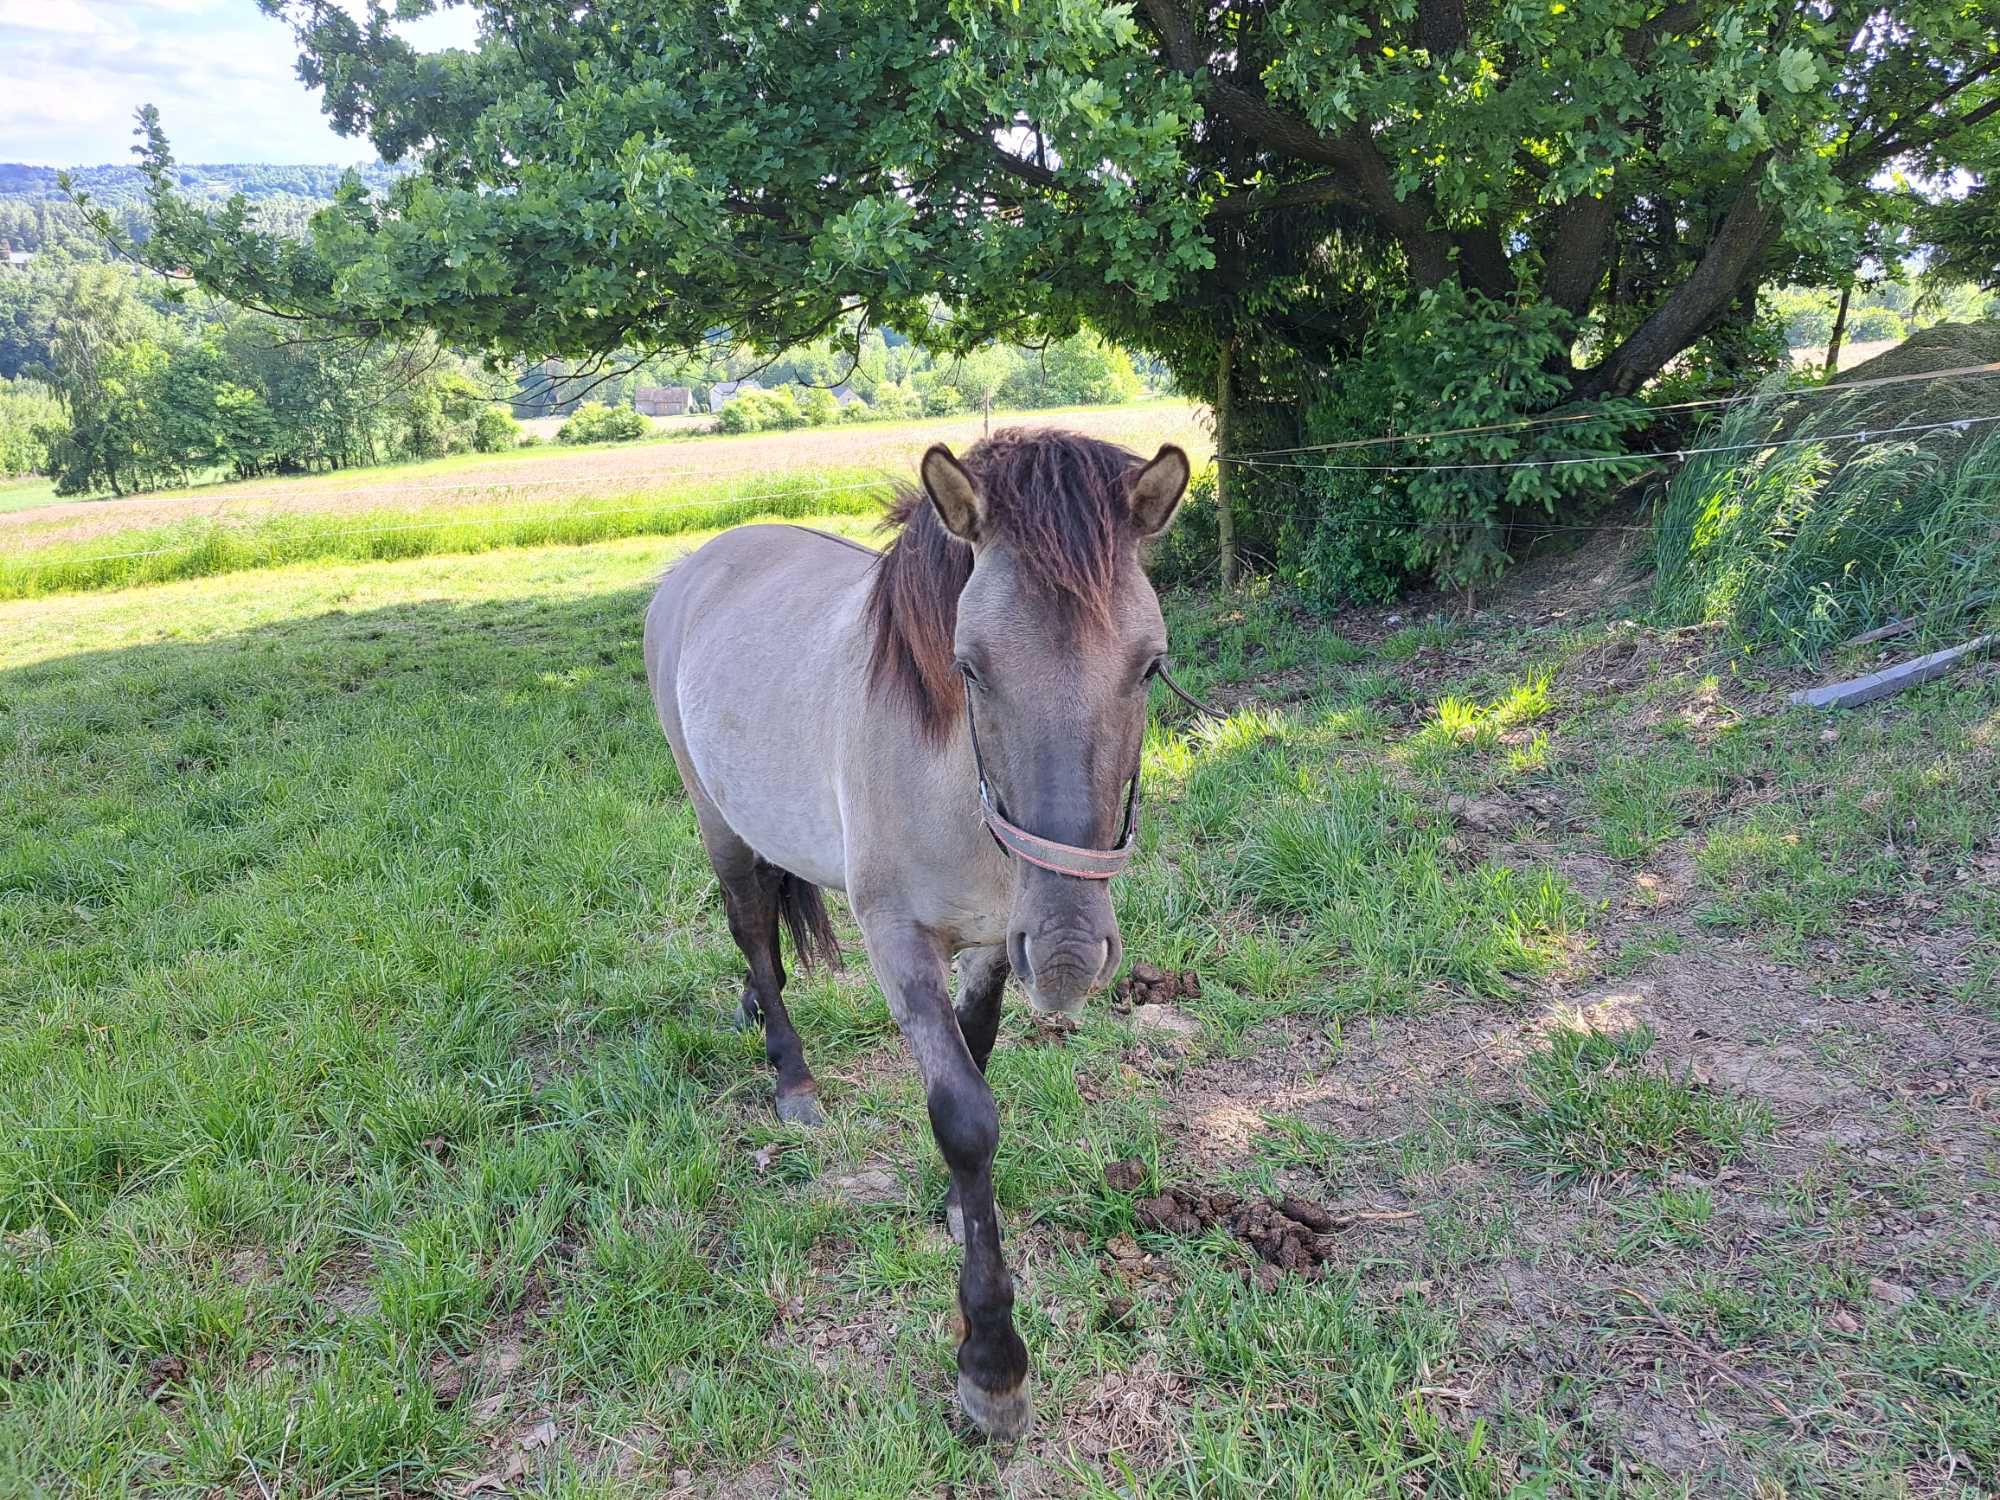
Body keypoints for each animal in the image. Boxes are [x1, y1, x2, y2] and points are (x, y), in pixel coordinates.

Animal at [648, 428, 1184, 1440]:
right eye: (967, 666)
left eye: (1148, 665)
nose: (1068, 954)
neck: (955, 787)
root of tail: (701, 563)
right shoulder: (898, 943)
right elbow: (964, 1116)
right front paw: (992, 1366)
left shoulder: (993, 941)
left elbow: (979, 1053)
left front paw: (957, 1212)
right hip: (716, 824)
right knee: (754, 936)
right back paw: (791, 1078)